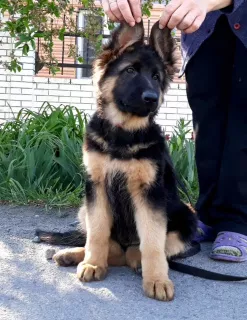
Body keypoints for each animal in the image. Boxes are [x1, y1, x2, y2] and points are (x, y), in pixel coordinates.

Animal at [42, 21, 199, 302]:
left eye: (156, 77)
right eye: (130, 71)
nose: (152, 98)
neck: (122, 135)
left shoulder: (149, 194)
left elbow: (152, 243)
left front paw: (157, 280)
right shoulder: (96, 188)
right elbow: (97, 234)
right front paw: (93, 263)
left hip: (187, 216)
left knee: (143, 250)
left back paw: (137, 260)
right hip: (84, 208)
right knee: (113, 249)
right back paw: (74, 256)